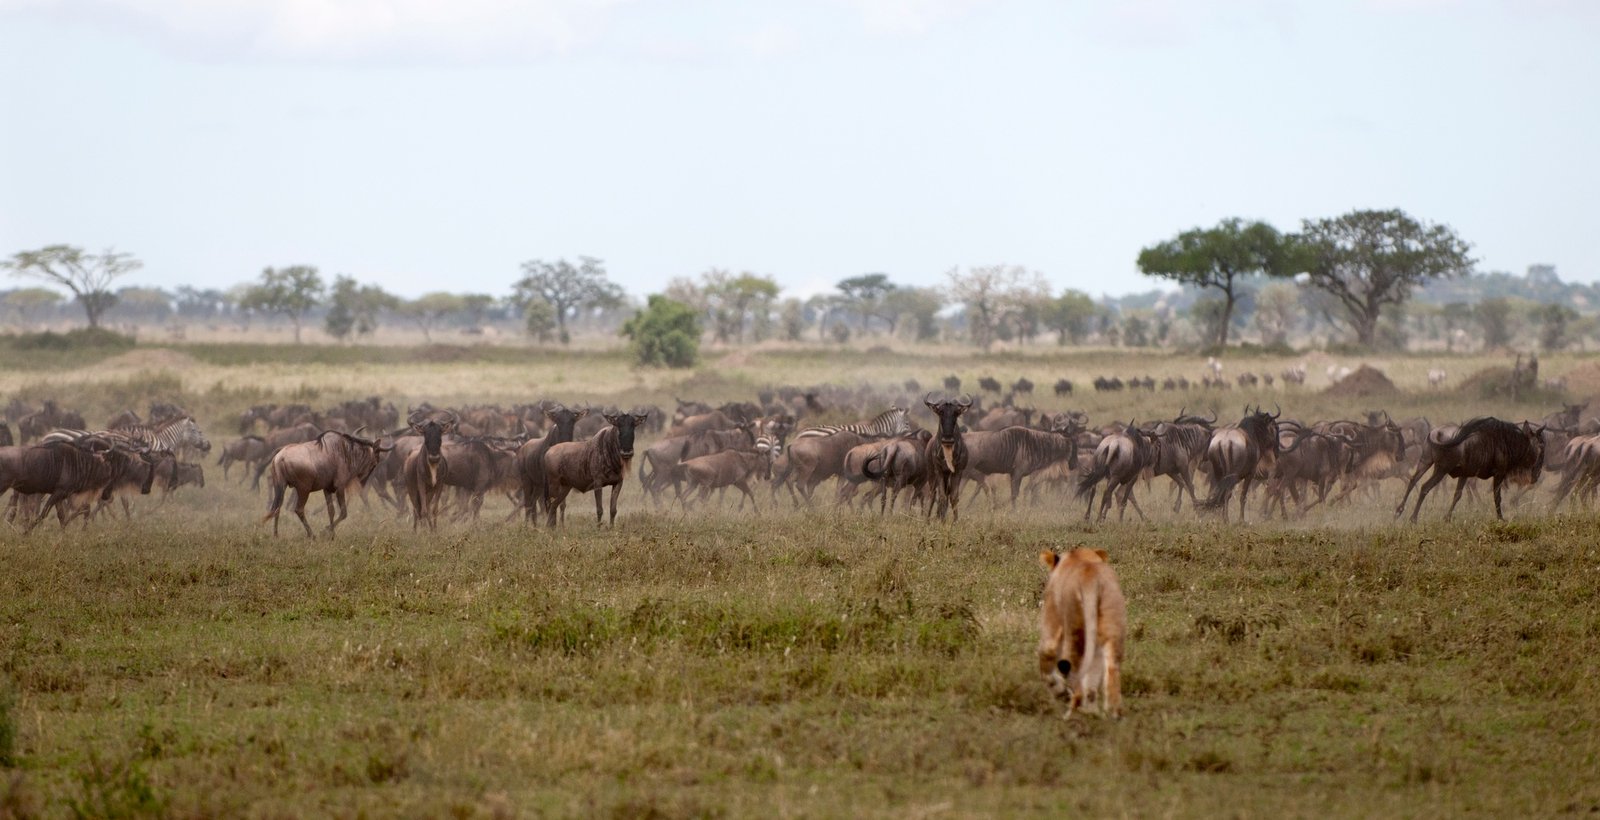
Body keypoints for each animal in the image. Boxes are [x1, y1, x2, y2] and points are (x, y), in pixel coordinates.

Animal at [1038, 547, 1127, 718]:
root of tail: (1090, 578)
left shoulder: (1051, 625)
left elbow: (1045, 658)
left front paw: (1060, 692)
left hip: (1075, 633)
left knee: (1073, 673)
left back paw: (1070, 715)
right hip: (1111, 629)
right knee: (1110, 670)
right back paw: (1110, 713)